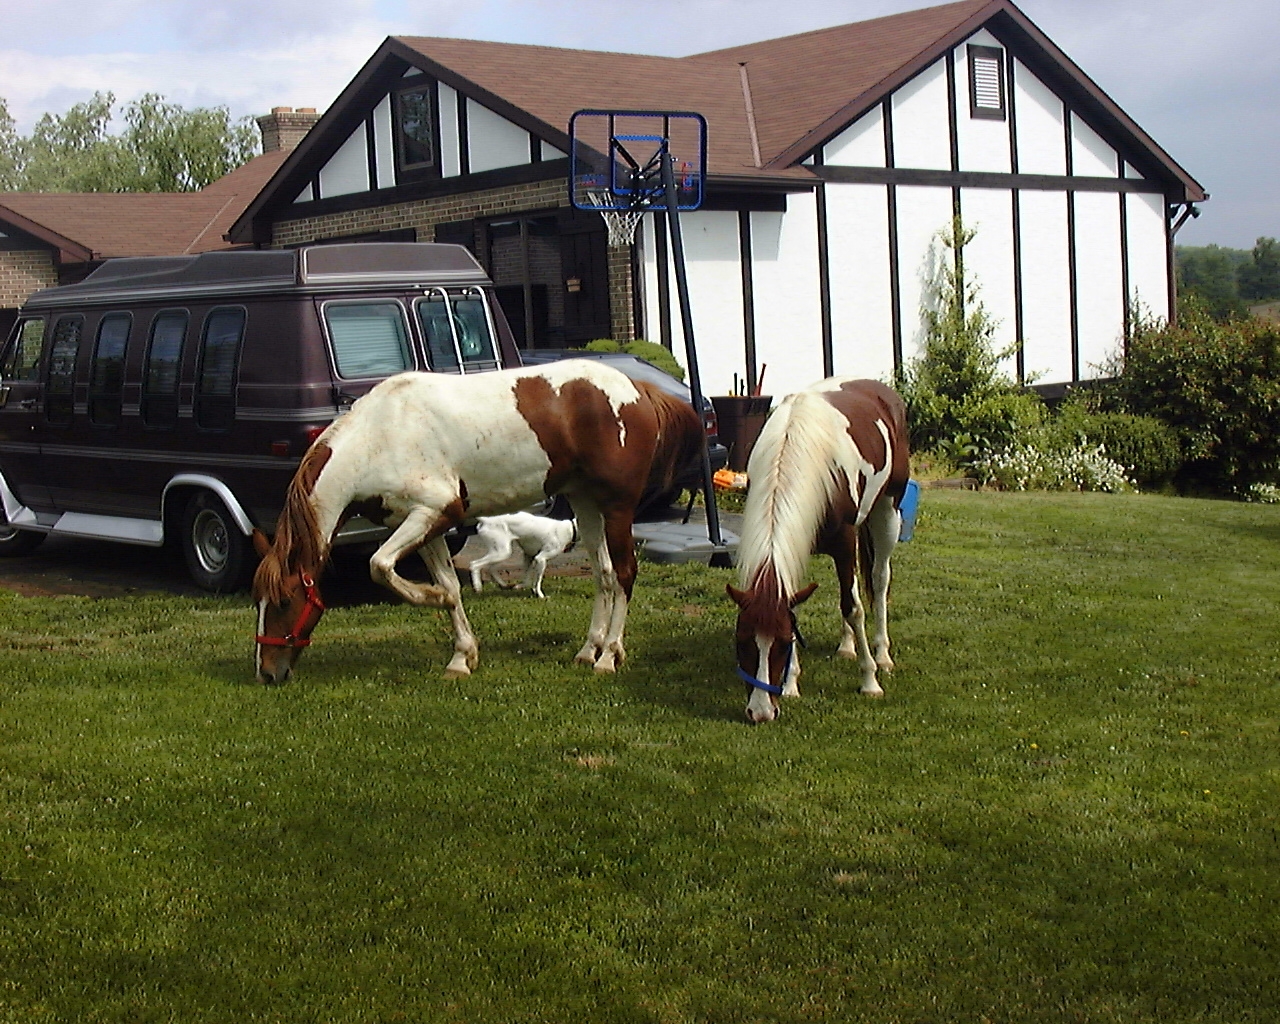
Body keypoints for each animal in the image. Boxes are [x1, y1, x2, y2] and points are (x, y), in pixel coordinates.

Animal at [252, 359, 703, 684]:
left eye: (283, 601)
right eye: (258, 602)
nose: (267, 673)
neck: (380, 435)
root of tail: (638, 389)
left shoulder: (433, 512)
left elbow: (378, 565)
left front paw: (429, 598)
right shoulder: (422, 524)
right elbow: (450, 586)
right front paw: (461, 655)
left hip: (618, 507)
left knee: (624, 573)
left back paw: (608, 656)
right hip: (585, 502)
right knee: (604, 575)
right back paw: (587, 650)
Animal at [726, 378, 909, 723]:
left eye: (783, 643)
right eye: (741, 641)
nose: (760, 712)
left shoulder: (845, 541)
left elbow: (854, 608)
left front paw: (869, 680)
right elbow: (807, 605)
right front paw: (791, 684)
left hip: (887, 511)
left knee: (879, 582)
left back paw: (882, 655)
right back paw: (847, 646)